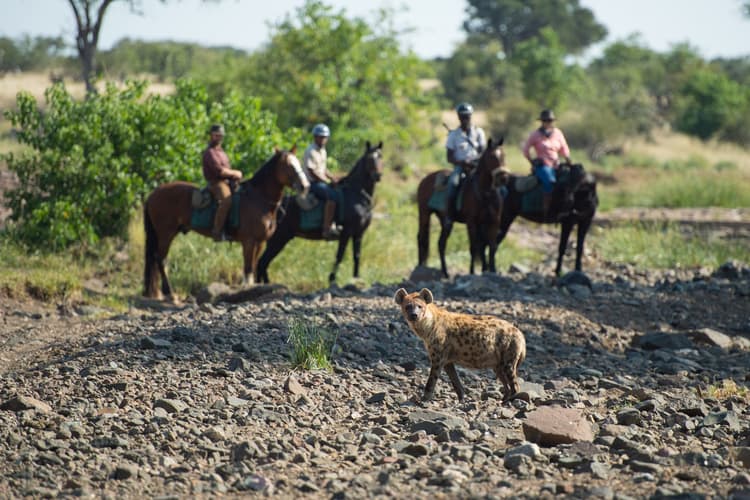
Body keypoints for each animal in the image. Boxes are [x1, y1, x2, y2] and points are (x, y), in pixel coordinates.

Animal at [143, 147, 309, 299]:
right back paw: (169, 293)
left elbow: (254, 266)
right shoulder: (249, 242)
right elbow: (248, 269)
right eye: (288, 165)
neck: (258, 199)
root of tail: (153, 194)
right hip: (166, 233)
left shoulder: (260, 242)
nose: (304, 186)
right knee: (161, 260)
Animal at [257, 141, 384, 285]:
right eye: (369, 159)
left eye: (380, 157)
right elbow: (339, 256)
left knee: (263, 264)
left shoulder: (359, 233)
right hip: (278, 239)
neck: (357, 195)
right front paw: (332, 279)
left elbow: (357, 256)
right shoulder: (346, 233)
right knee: (262, 263)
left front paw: (356, 278)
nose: (377, 176)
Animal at [416, 138, 507, 278]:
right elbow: (474, 247)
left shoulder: (493, 222)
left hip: (445, 220)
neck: (486, 193)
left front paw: (491, 270)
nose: (503, 178)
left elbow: (491, 247)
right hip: (424, 214)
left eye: (504, 156)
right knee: (421, 238)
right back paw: (421, 266)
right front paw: (472, 272)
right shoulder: (472, 222)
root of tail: (425, 179)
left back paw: (445, 273)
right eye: (491, 157)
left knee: (441, 243)